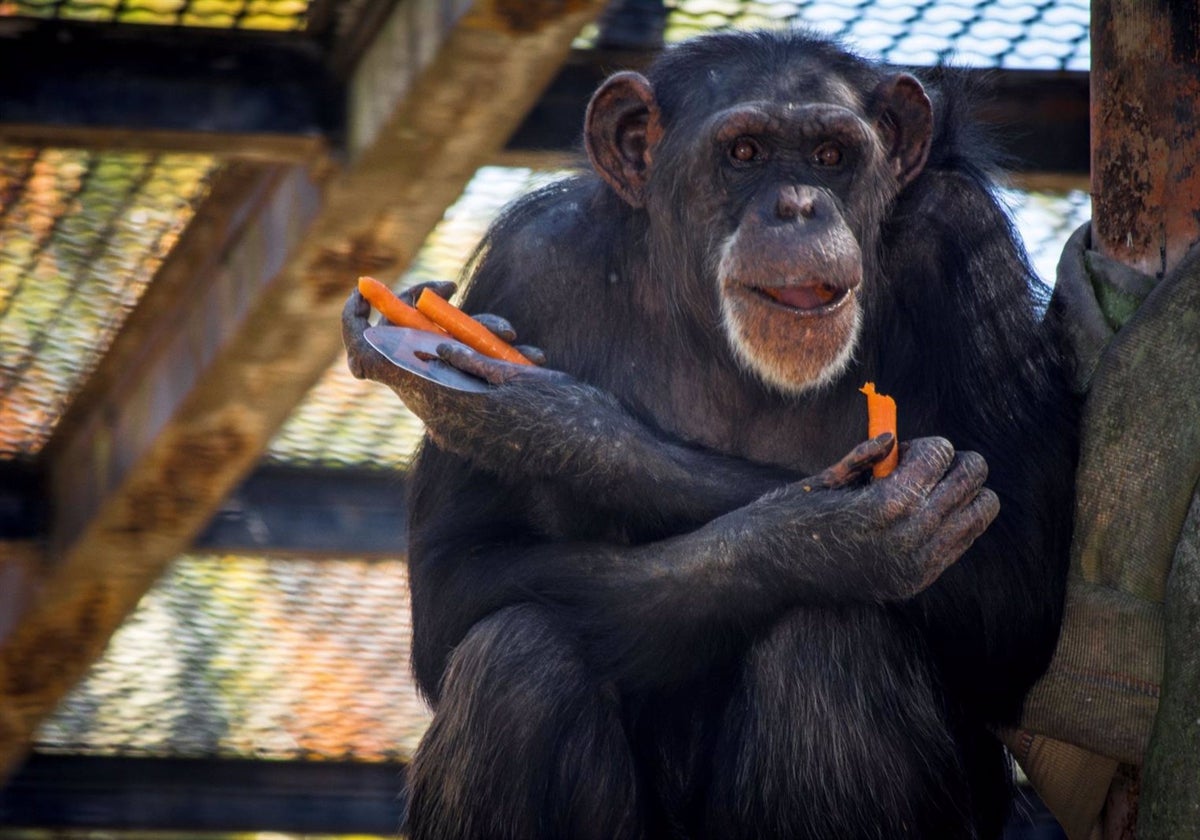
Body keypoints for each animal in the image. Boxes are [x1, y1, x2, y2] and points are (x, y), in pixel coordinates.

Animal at [340, 27, 1080, 840]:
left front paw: (559, 424)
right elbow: (459, 574)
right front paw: (827, 536)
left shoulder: (964, 242)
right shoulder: (525, 265)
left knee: (832, 638)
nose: (798, 207)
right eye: (745, 152)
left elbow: (1017, 587)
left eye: (831, 155)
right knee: (516, 658)